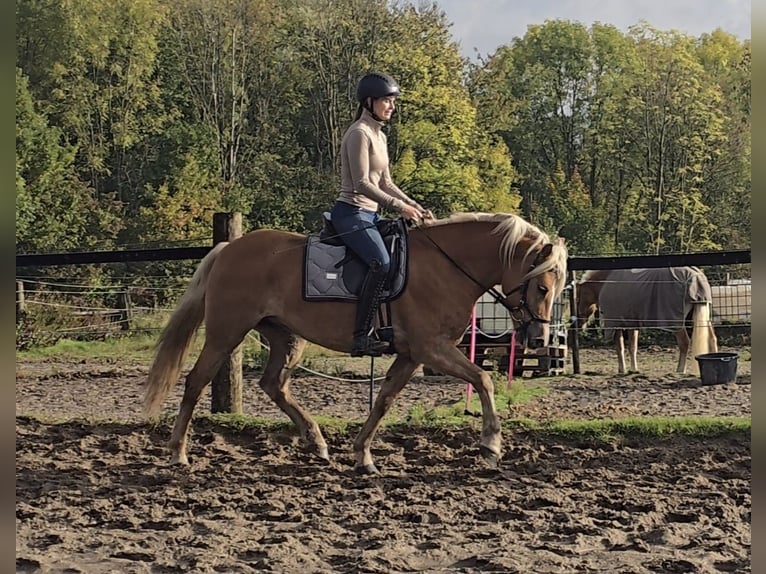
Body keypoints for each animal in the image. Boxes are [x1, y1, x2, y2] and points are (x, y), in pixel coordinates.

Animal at [143, 212, 568, 473]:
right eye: (542, 287)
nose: (539, 337)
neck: (447, 266)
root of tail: (228, 248)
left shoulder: (412, 354)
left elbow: (384, 401)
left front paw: (362, 454)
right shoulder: (433, 348)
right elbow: (483, 379)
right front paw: (491, 444)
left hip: (286, 337)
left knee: (273, 384)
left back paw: (316, 442)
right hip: (226, 333)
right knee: (196, 382)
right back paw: (178, 452)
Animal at [576, 267, 718, 375]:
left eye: (576, 299)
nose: (578, 325)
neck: (605, 282)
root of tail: (696, 276)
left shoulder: (616, 325)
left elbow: (620, 348)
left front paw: (622, 370)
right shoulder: (632, 325)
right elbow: (632, 347)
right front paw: (634, 369)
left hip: (677, 323)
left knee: (684, 343)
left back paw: (680, 370)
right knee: (712, 339)